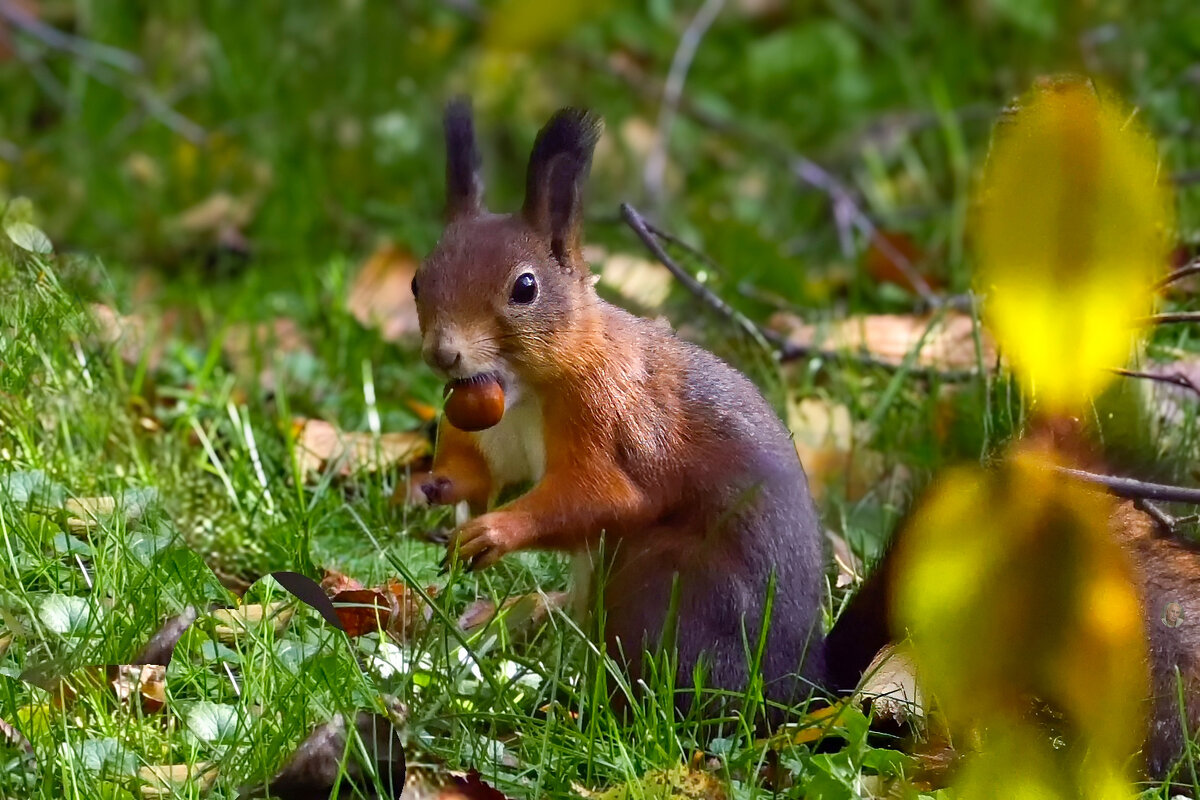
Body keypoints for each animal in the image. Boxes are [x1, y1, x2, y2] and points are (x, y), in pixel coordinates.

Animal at [403, 101, 825, 714]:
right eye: (417, 280)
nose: (443, 353)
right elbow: (487, 472)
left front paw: (493, 532)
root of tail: (803, 688)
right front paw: (436, 484)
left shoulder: (609, 411)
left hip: (666, 592)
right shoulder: (496, 428)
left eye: (525, 288)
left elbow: (604, 497)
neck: (529, 390)